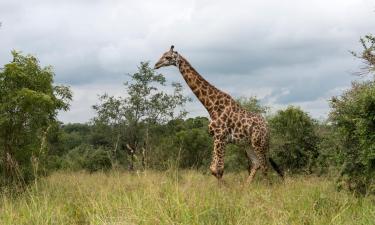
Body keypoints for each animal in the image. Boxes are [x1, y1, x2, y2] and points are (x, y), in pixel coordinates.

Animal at [154, 45, 284, 183]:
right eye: (163, 54)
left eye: (167, 57)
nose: (156, 64)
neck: (211, 106)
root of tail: (268, 127)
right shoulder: (215, 138)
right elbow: (213, 168)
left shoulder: (221, 137)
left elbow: (219, 169)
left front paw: (225, 187)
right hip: (248, 144)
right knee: (257, 164)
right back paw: (245, 187)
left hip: (258, 143)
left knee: (264, 166)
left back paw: (266, 186)